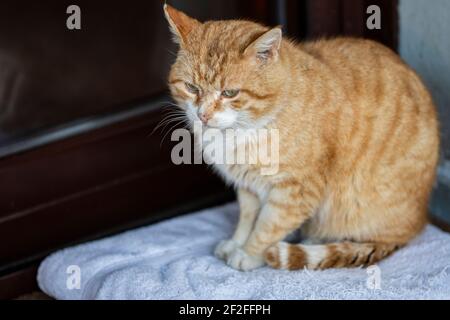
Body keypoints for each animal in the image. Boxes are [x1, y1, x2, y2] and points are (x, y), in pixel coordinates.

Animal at [163, 5, 438, 270]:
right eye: (191, 88)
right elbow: (247, 220)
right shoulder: (248, 187)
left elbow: (266, 228)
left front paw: (248, 254)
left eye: (230, 93)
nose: (203, 115)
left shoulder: (295, 192)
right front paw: (235, 243)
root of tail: (419, 222)